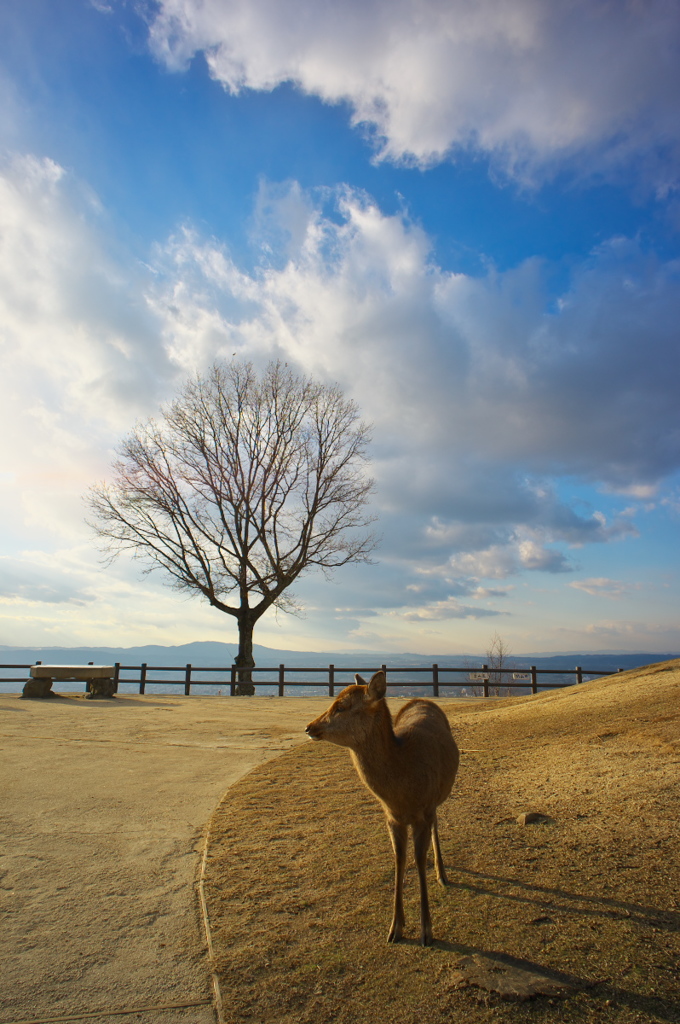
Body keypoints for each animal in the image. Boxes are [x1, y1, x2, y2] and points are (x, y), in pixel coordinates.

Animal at [307, 671, 456, 942]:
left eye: (341, 706)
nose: (309, 727)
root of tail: (421, 699)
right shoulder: (392, 817)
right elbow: (399, 858)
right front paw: (395, 928)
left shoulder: (423, 810)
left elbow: (419, 860)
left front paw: (426, 931)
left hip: (436, 800)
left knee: (437, 824)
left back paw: (442, 874)